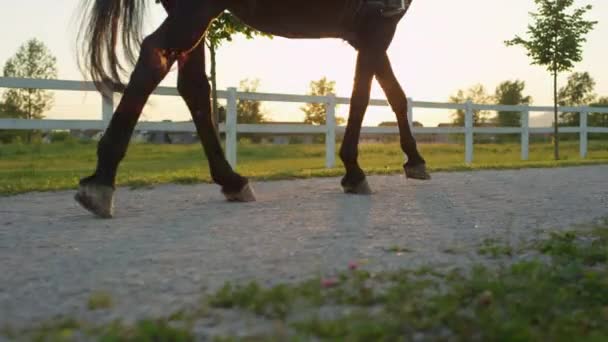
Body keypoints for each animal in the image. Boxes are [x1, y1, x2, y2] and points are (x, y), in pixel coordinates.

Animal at [75, 0, 428, 218]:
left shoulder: (368, 35)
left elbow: (393, 95)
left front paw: (414, 160)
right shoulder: (377, 28)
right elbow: (363, 98)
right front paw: (355, 172)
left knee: (193, 87)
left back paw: (231, 180)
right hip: (195, 10)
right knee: (155, 54)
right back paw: (101, 180)